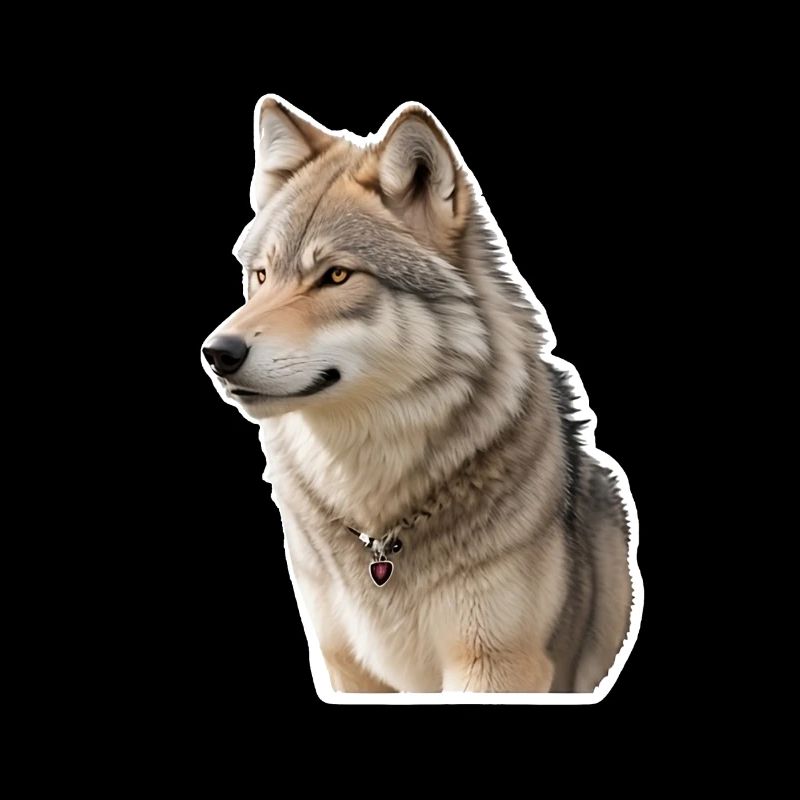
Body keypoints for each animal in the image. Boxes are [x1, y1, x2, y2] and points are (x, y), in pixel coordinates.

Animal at [201, 95, 638, 696]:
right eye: (261, 276)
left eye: (337, 276)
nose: (216, 353)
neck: (379, 523)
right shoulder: (348, 666)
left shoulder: (495, 664)